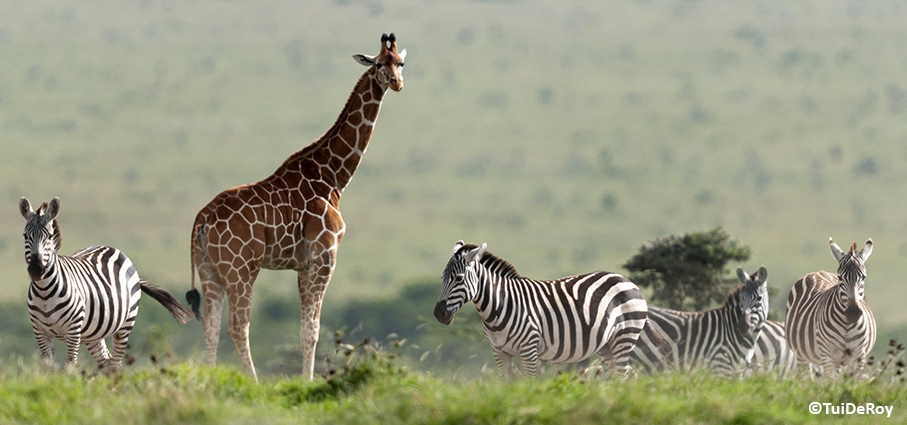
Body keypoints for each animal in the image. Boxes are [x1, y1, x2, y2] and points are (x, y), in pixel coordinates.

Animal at [186, 33, 406, 381]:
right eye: (379, 64)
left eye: (401, 62)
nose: (397, 83)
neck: (333, 176)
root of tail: (202, 219)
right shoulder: (325, 254)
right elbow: (312, 330)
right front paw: (308, 381)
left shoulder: (302, 264)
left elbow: (306, 328)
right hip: (241, 268)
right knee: (237, 326)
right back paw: (254, 381)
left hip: (209, 268)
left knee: (210, 325)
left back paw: (209, 378)